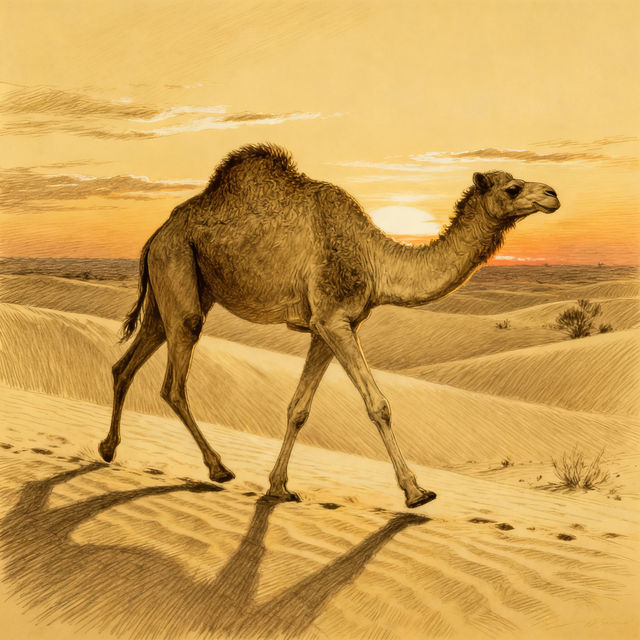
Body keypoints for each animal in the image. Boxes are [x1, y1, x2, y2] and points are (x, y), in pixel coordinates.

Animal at [99, 143, 560, 508]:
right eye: (512, 188)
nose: (553, 193)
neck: (376, 261)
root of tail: (156, 234)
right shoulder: (334, 319)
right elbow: (378, 404)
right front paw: (416, 492)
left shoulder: (325, 327)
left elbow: (298, 408)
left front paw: (278, 487)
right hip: (178, 266)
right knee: (174, 381)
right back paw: (218, 469)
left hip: (175, 286)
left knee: (126, 363)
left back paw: (107, 449)